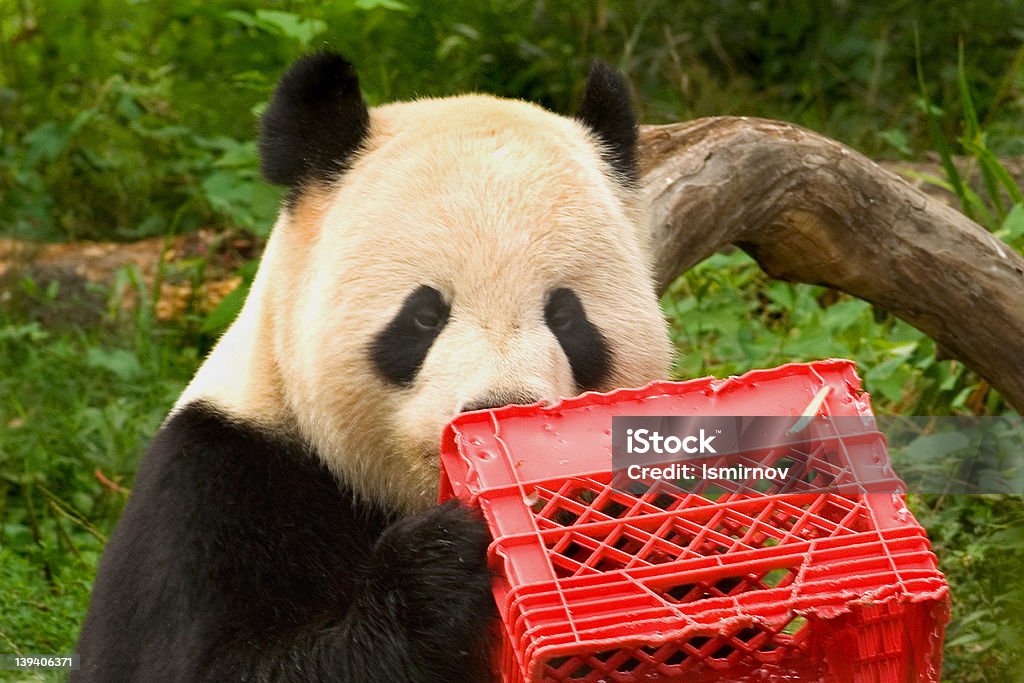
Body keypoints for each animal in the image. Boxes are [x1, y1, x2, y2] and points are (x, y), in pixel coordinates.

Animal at [74, 53, 671, 683]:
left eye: (564, 315)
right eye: (425, 315)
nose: (502, 406)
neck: (407, 495)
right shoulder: (215, 488)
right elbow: (203, 663)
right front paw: (441, 564)